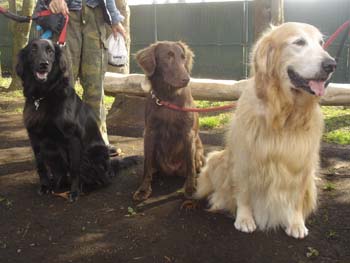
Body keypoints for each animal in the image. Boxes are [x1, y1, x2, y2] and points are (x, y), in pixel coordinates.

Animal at [17, 38, 136, 201]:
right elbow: (41, 166)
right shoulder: (34, 136)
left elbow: (74, 169)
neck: (44, 95)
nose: (44, 64)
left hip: (95, 154)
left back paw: (86, 187)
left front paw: (74, 192)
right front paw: (45, 186)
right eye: (33, 50)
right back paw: (57, 184)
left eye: (50, 51)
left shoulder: (72, 138)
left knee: (104, 179)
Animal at [134, 41, 205, 202]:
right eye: (168, 57)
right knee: (152, 166)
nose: (186, 79)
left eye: (183, 57)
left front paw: (190, 188)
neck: (168, 97)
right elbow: (146, 165)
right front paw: (143, 189)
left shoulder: (188, 133)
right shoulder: (149, 132)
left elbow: (190, 165)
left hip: (198, 151)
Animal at [197, 23, 336, 240]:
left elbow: (297, 196)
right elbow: (243, 192)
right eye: (299, 42)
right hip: (217, 159)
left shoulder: (303, 161)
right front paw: (245, 219)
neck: (283, 113)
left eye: (321, 43)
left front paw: (296, 223)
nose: (331, 64)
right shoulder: (244, 157)